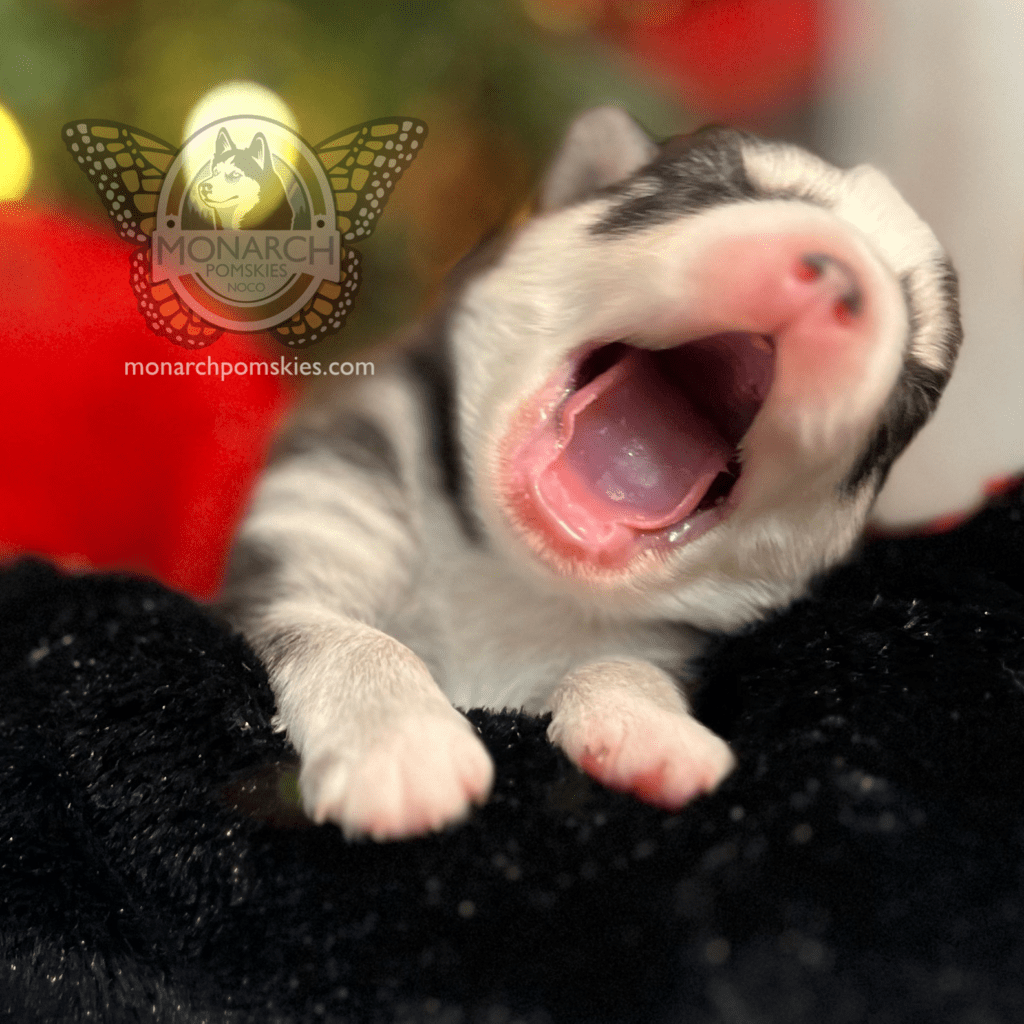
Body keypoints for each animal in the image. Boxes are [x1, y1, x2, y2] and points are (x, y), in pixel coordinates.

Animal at [220, 105, 962, 839]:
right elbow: (345, 635)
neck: (509, 578)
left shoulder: (658, 643)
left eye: (917, 378)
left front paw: (652, 728)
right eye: (707, 188)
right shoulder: (320, 515)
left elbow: (626, 665)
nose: (839, 272)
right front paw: (403, 745)